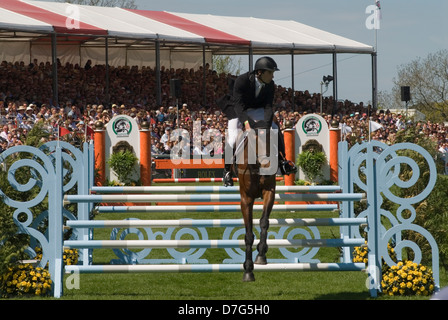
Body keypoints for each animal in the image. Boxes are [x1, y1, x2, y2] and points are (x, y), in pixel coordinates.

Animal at [234, 124, 276, 282]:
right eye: (255, 142)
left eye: (274, 140)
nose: (269, 166)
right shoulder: (246, 200)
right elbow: (248, 235)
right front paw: (248, 269)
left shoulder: (270, 192)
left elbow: (264, 221)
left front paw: (261, 253)